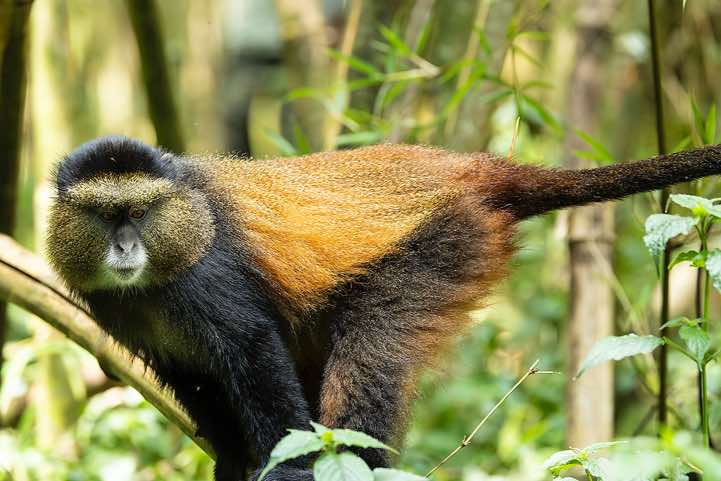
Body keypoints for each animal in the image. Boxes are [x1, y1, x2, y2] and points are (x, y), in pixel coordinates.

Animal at [46, 135, 721, 481]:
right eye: (103, 216)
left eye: (139, 212)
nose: (126, 247)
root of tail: (471, 170)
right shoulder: (127, 319)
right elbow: (194, 379)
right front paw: (235, 467)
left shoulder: (209, 282)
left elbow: (254, 352)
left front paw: (284, 471)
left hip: (443, 250)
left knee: (370, 360)